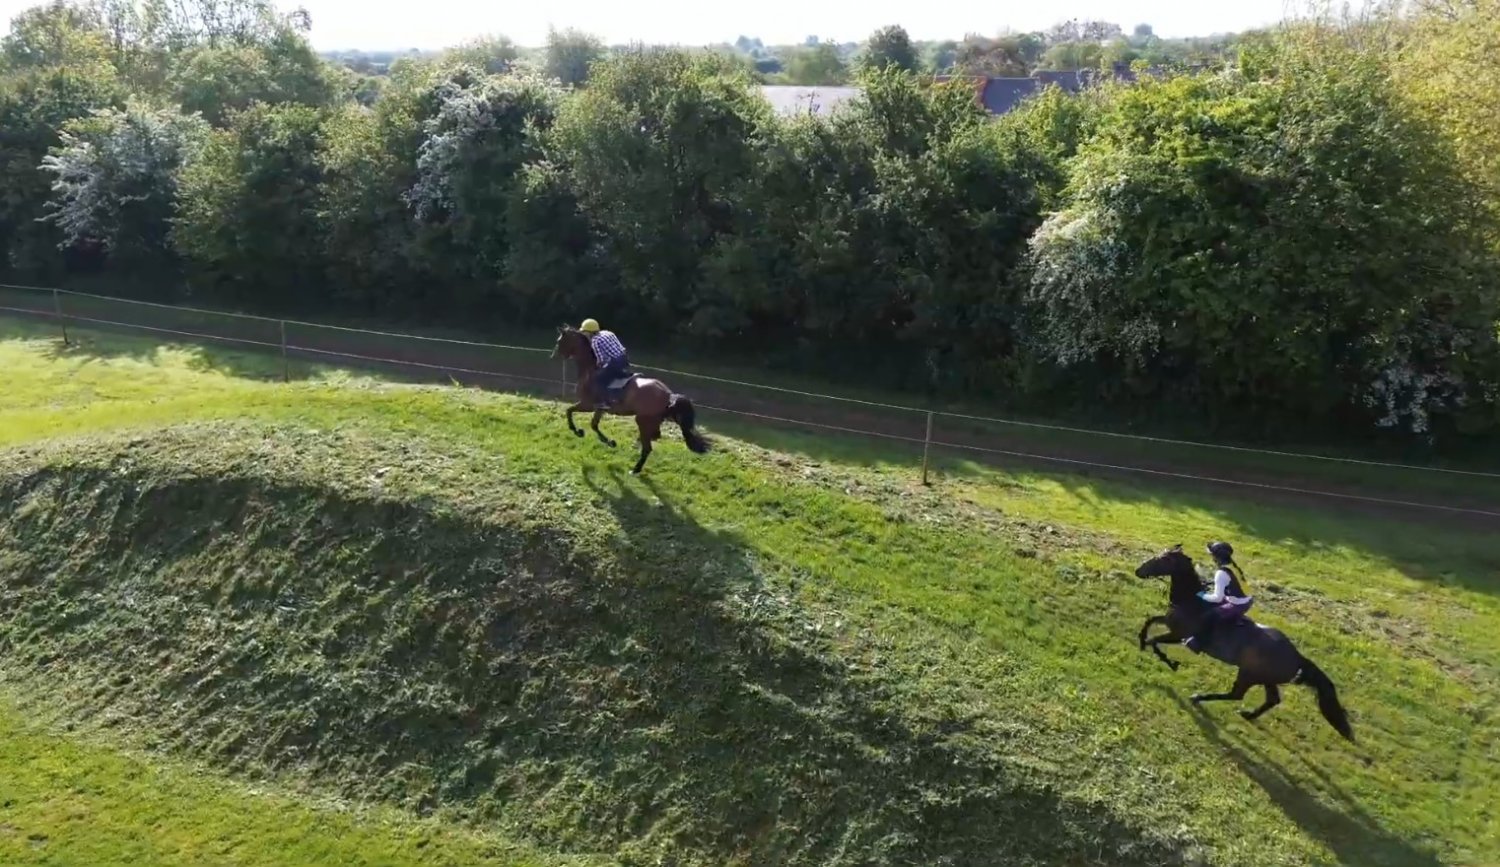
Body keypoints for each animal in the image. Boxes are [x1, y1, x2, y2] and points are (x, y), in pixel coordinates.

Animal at [552, 326, 709, 475]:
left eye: (560, 341)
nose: (553, 355)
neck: (590, 371)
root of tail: (668, 394)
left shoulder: (588, 404)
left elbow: (569, 411)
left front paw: (577, 431)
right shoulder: (599, 408)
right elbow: (594, 425)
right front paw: (610, 442)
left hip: (642, 420)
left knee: (648, 446)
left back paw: (635, 469)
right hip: (653, 420)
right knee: (655, 436)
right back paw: (637, 447)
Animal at [1135, 545, 1354, 741]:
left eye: (1162, 560)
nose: (1138, 571)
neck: (1191, 601)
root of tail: (1298, 657)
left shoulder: (1178, 634)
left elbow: (1155, 641)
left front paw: (1170, 662)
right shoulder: (1169, 623)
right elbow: (1150, 622)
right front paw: (1142, 643)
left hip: (1249, 674)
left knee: (1236, 694)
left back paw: (1198, 697)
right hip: (1265, 678)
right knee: (1272, 699)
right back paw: (1248, 715)